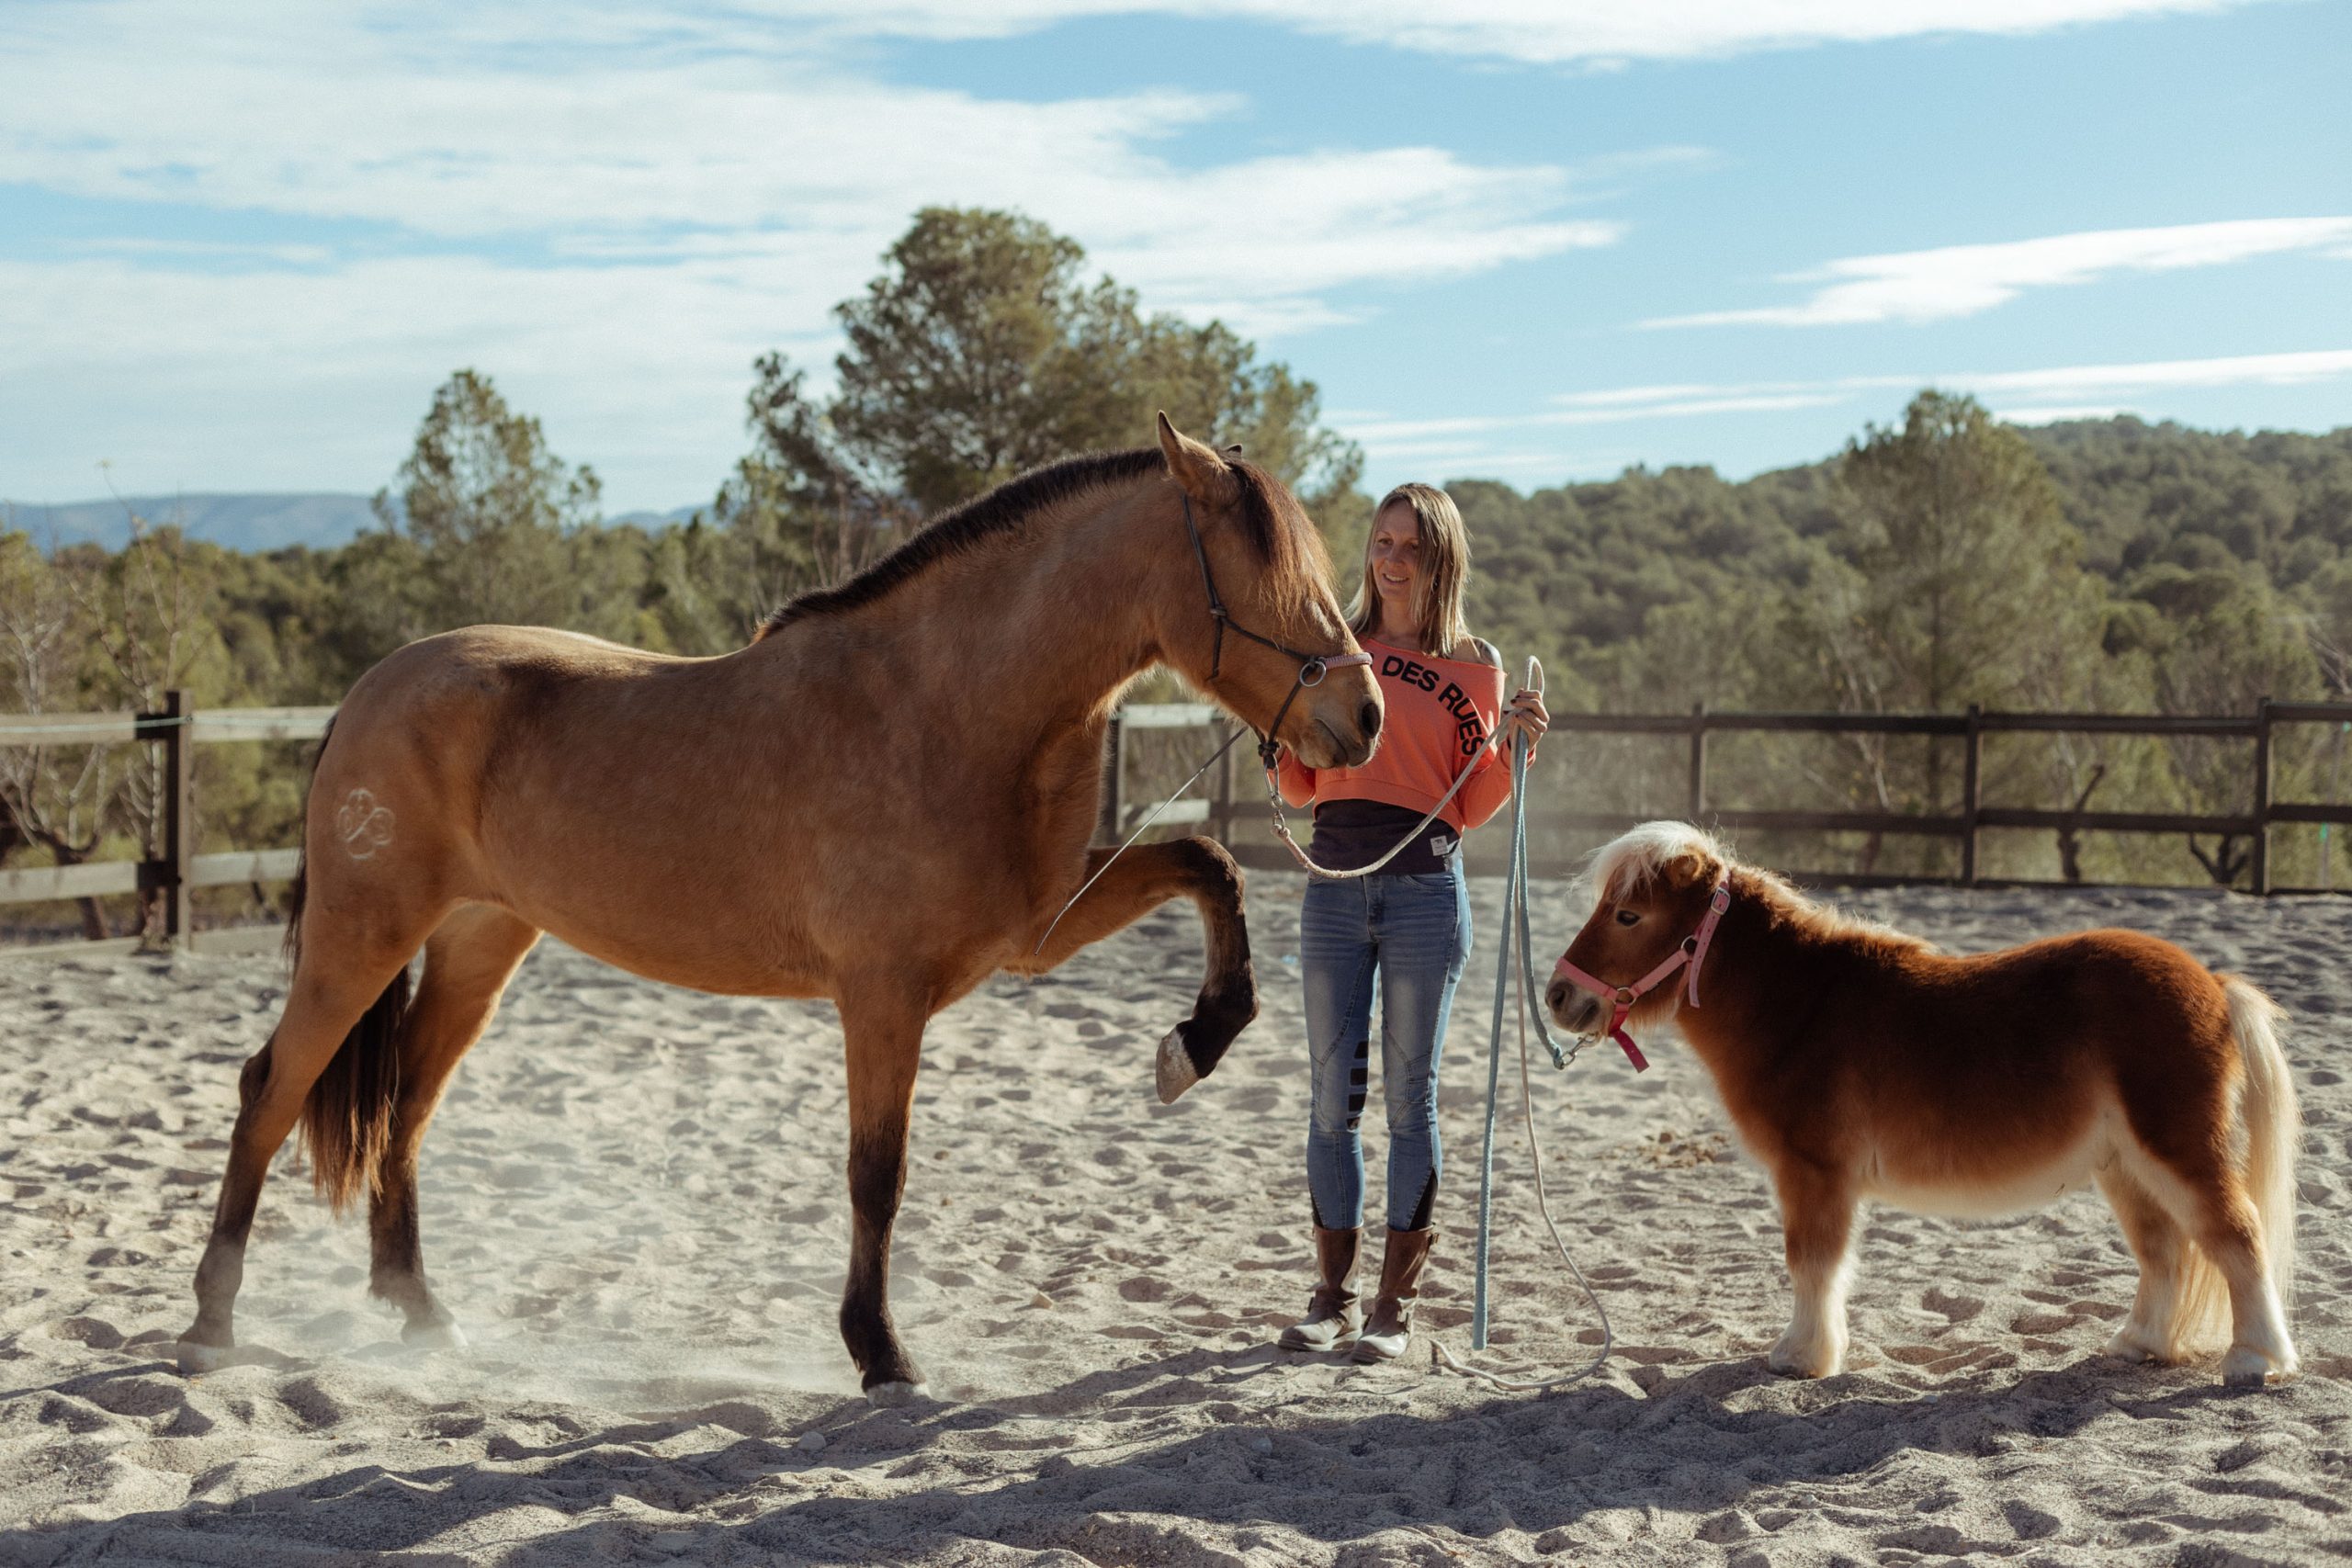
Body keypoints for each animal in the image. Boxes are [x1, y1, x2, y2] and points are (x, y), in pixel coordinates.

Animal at [176, 415, 1384, 1402]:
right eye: (1261, 568)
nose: (1365, 716)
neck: (941, 706)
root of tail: (368, 693)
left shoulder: (1036, 931)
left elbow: (1207, 865)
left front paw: (1196, 1042)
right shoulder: (883, 995)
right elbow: (876, 1176)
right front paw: (881, 1354)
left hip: (480, 943)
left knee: (404, 1111)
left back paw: (423, 1315)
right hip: (364, 937)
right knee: (272, 1089)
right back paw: (212, 1326)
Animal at [1544, 822, 2301, 1387]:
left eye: (1629, 914)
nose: (1557, 995)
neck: (1800, 1005)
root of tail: (2214, 982)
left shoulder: (1815, 1174)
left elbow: (1812, 1262)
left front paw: (1800, 1356)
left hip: (2175, 1151)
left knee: (2236, 1235)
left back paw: (2254, 1360)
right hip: (2125, 1167)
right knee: (2165, 1250)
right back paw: (2138, 1342)